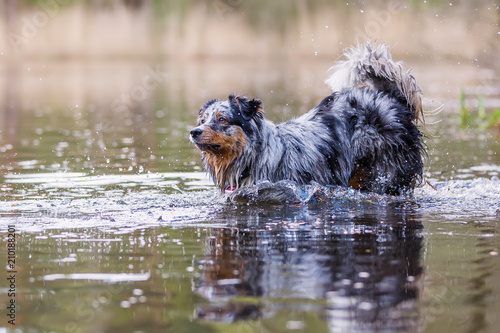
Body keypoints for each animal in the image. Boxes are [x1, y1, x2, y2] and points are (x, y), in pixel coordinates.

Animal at [189, 43, 424, 195]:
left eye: (222, 119)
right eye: (203, 120)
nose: (194, 132)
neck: (255, 155)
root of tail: (389, 97)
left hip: (387, 173)